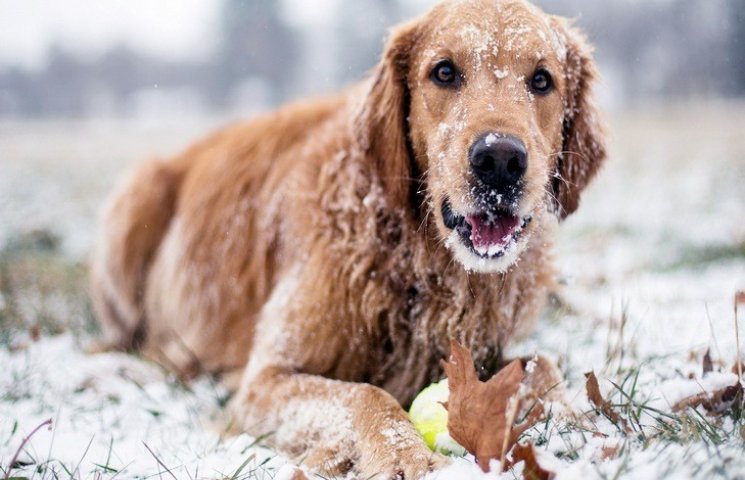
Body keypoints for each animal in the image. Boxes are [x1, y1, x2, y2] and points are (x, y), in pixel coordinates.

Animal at [91, 0, 604, 476]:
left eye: (542, 80)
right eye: (444, 72)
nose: (499, 159)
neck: (415, 261)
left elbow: (541, 364)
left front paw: (578, 422)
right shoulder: (264, 381)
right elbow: (365, 395)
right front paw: (405, 457)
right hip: (134, 199)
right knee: (124, 339)